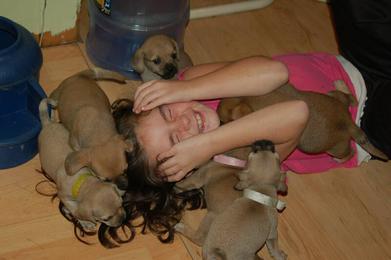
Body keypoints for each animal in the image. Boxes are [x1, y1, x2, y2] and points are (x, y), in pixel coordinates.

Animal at [38, 98, 125, 233]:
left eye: (121, 204)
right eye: (106, 218)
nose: (123, 220)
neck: (83, 182)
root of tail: (47, 124)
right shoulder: (64, 197)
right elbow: (75, 210)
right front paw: (85, 222)